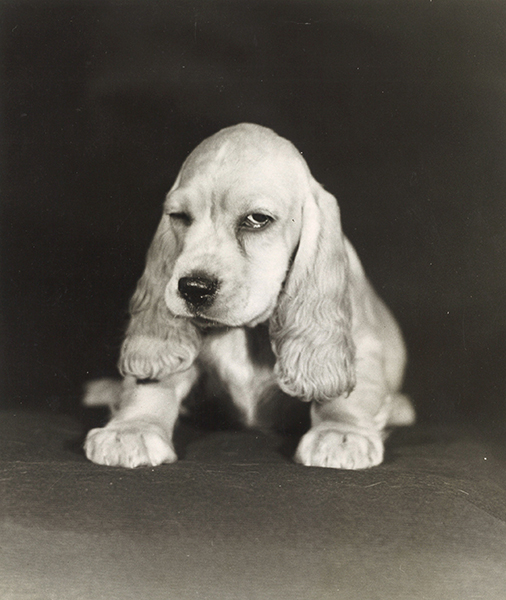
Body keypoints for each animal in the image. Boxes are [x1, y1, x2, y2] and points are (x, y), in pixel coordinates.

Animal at [84, 122, 416, 468]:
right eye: (179, 216)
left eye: (257, 219)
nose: (193, 288)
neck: (246, 331)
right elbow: (152, 383)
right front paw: (130, 429)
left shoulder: (362, 343)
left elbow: (349, 392)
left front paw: (341, 433)